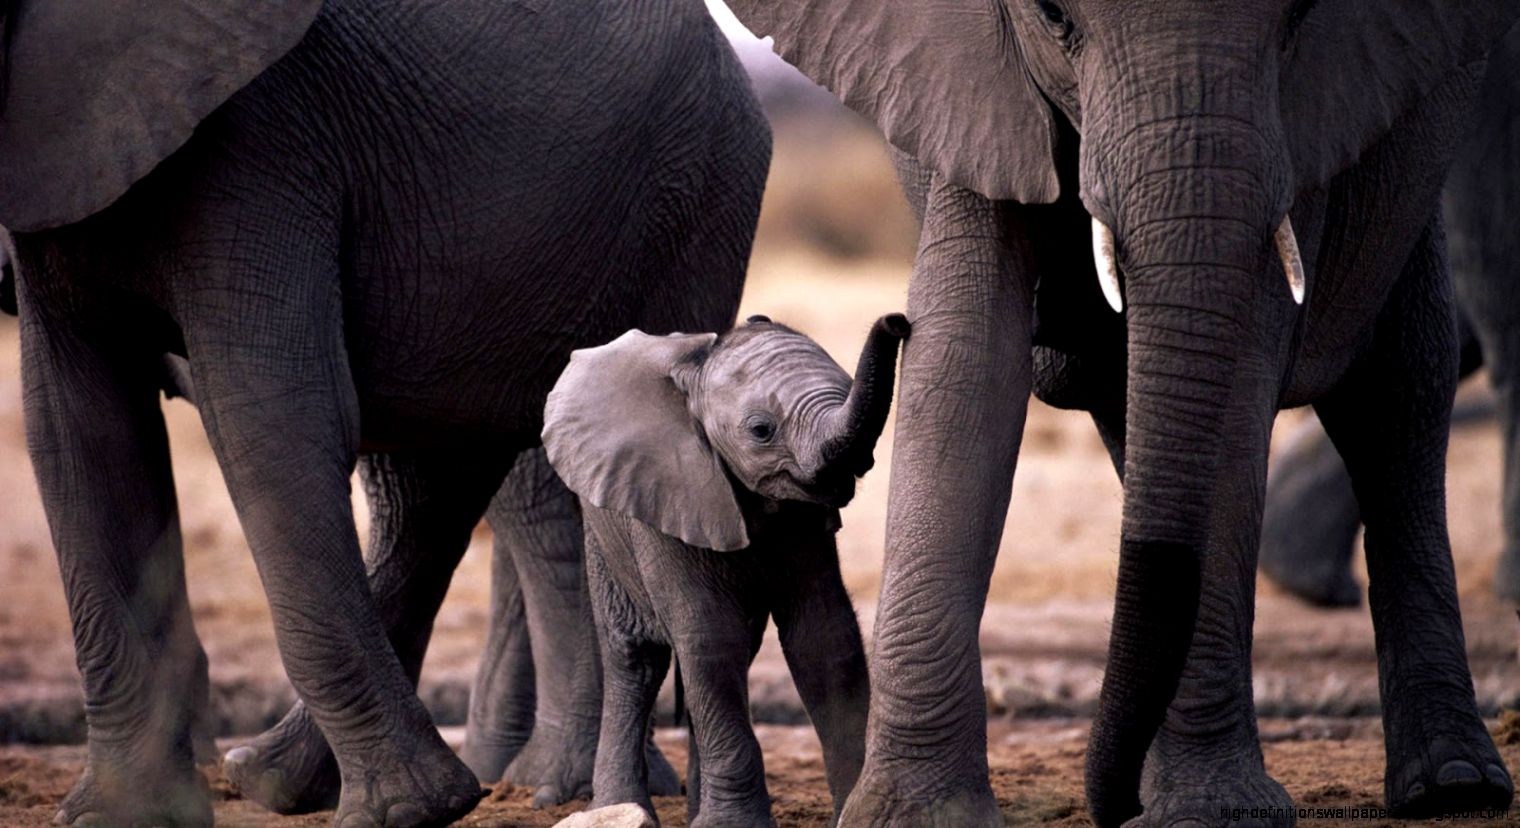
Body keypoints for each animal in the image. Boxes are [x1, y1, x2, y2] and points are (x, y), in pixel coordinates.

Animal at [2, 0, 768, 824]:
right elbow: (79, 439)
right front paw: (122, 814)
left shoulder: (262, 145)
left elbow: (270, 420)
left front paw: (410, 812)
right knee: (437, 486)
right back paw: (274, 778)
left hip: (692, 204)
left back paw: (542, 790)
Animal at [541, 313, 908, 828]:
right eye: (761, 430)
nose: (897, 321)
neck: (697, 372)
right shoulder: (669, 492)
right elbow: (711, 638)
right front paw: (733, 825)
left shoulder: (804, 521)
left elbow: (824, 639)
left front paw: (853, 811)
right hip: (603, 529)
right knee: (638, 659)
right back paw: (621, 808)